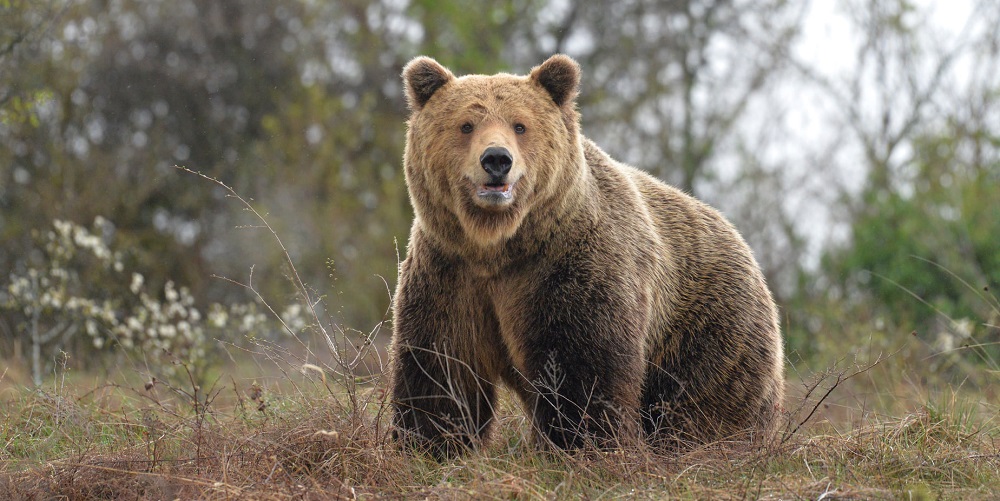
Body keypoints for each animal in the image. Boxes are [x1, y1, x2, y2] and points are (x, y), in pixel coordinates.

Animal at [386, 52, 784, 456]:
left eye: (520, 125)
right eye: (466, 125)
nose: (496, 159)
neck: (499, 246)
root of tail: (743, 244)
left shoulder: (567, 269)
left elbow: (580, 370)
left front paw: (578, 446)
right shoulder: (449, 274)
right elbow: (441, 370)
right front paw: (432, 445)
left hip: (707, 326)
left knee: (701, 403)